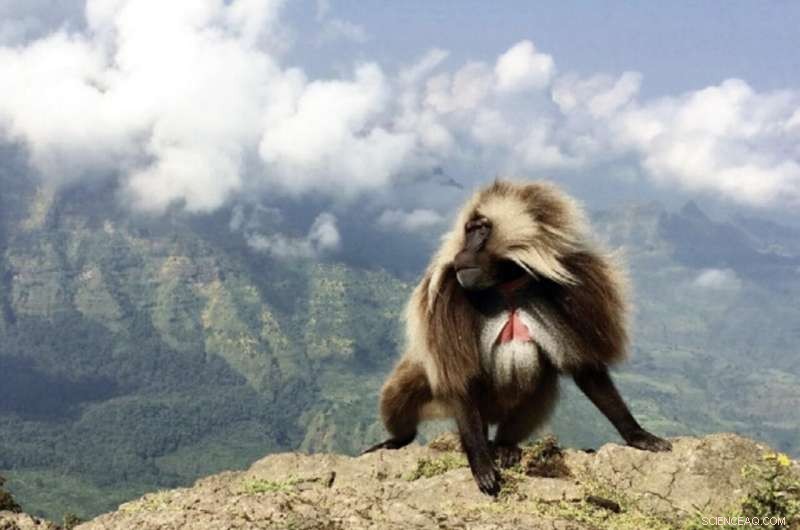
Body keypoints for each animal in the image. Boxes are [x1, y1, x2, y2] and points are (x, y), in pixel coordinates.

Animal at [362, 180, 671, 496]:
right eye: (469, 229)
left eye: (482, 229)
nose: (463, 253)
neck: (505, 282)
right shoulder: (449, 295)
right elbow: (460, 379)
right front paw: (481, 464)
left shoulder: (575, 287)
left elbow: (586, 370)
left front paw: (637, 434)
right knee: (399, 391)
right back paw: (400, 439)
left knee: (542, 381)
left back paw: (505, 446)